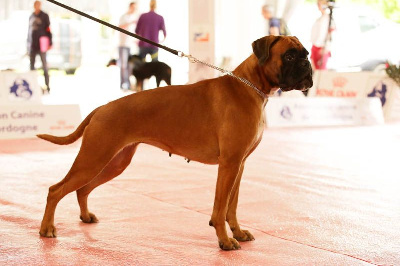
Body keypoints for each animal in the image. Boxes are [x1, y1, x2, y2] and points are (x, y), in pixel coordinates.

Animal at [37, 35, 312, 251]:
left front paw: (238, 232)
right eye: (289, 56)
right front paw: (224, 241)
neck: (249, 85)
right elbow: (220, 208)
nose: (307, 65)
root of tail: (101, 108)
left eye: (306, 54)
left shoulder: (239, 166)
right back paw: (47, 228)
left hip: (113, 163)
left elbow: (231, 206)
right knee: (55, 190)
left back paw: (85, 217)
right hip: (92, 160)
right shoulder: (229, 165)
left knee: (82, 190)